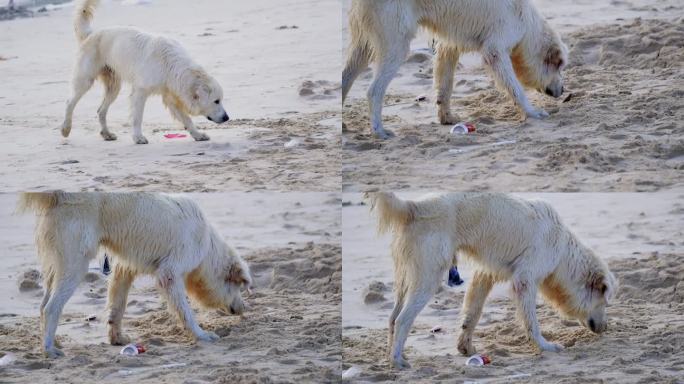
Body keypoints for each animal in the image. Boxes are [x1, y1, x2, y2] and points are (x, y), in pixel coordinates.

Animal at [20, 194, 252, 358]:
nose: (244, 309)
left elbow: (118, 306)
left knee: (43, 305)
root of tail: (58, 196)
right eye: (239, 287)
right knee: (51, 308)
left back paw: (53, 340)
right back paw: (50, 349)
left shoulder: (124, 269)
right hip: (75, 264)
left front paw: (117, 338)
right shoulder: (170, 273)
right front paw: (201, 335)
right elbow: (185, 311)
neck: (207, 247)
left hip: (59, 265)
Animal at [60, 0, 230, 144]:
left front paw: (198, 135)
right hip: (85, 79)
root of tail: (91, 34)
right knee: (70, 102)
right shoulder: (140, 92)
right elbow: (137, 117)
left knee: (101, 110)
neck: (171, 66)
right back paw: (65, 129)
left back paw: (107, 134)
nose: (227, 117)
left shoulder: (170, 96)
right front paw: (138, 137)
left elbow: (186, 119)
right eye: (216, 101)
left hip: (114, 87)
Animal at [344, 0, 568, 138]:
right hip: (395, 40)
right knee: (374, 90)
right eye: (560, 66)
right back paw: (379, 131)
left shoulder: (449, 46)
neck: (527, 24)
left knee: (346, 76)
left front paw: (447, 117)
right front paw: (532, 112)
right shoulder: (496, 48)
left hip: (364, 43)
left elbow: (445, 84)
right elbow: (515, 88)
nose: (563, 90)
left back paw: (344, 125)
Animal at [368, 192, 620, 368]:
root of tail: (414, 206)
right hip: (428, 276)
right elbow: (531, 320)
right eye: (605, 302)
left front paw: (466, 347)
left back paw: (392, 356)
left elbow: (473, 313)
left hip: (406, 277)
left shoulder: (484, 274)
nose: (606, 328)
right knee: (403, 319)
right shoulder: (525, 280)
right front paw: (545, 345)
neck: (564, 253)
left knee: (392, 318)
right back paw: (398, 361)